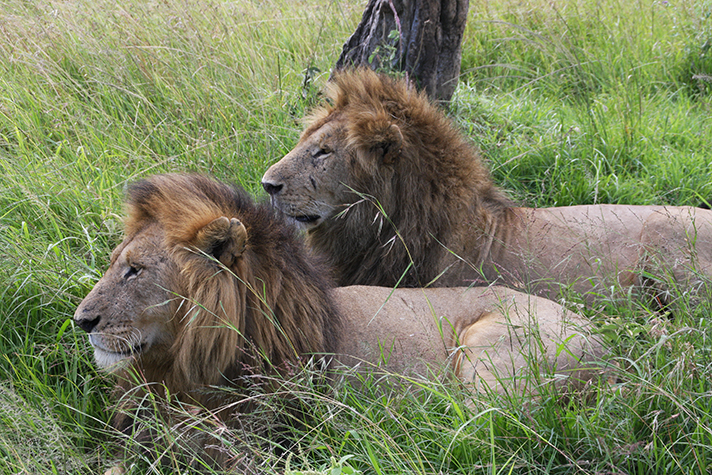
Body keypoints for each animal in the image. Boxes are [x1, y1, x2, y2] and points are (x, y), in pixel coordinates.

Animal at [75, 174, 603, 467]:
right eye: (115, 262)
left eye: (135, 270)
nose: (82, 321)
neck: (182, 362)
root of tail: (606, 344)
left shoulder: (264, 437)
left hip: (491, 358)